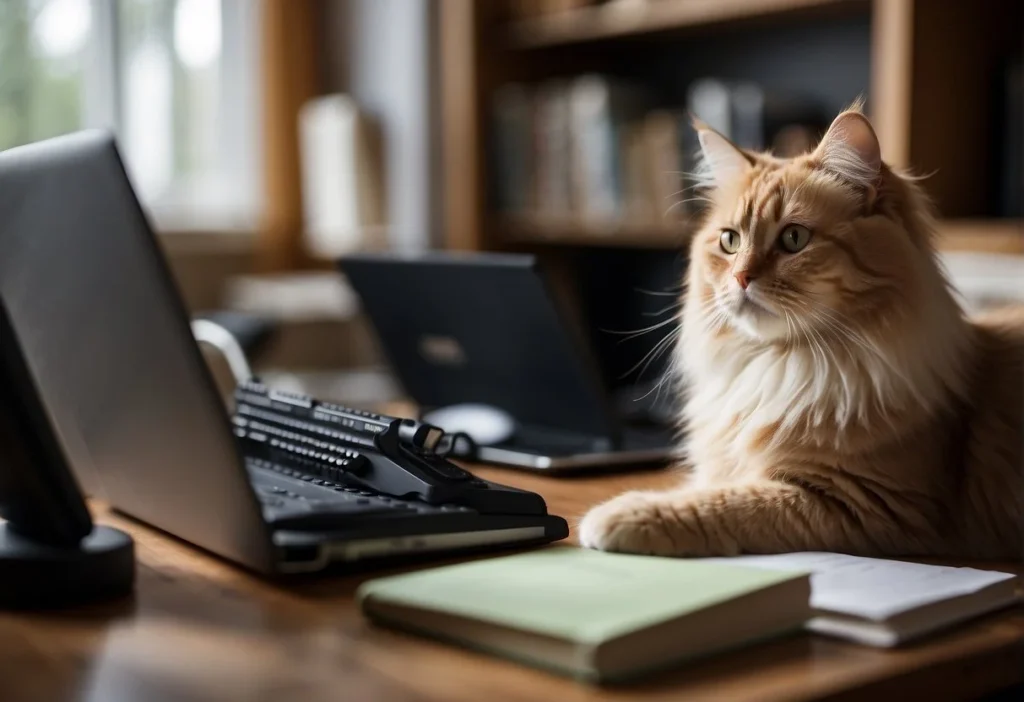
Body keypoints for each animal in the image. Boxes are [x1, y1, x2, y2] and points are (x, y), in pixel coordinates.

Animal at [581, 105, 1019, 560]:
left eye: (794, 238)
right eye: (729, 241)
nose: (740, 278)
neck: (784, 367)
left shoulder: (864, 503)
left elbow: (724, 502)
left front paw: (622, 514)